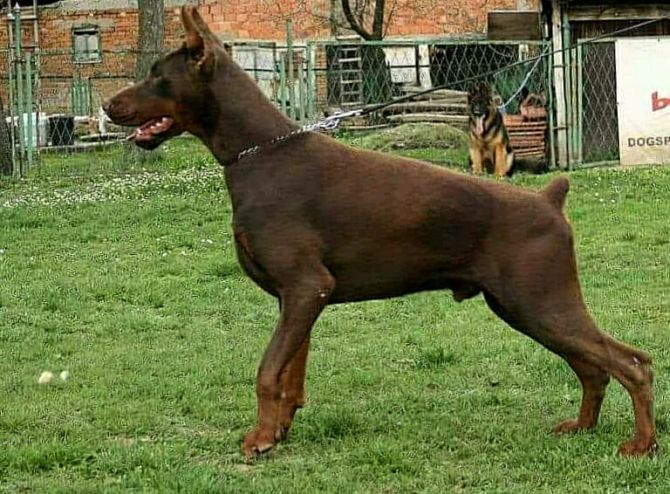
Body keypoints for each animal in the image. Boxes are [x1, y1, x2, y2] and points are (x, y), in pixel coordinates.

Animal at [103, 7, 656, 459]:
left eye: (157, 77)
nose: (109, 107)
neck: (256, 155)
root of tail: (549, 199)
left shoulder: (305, 286)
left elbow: (267, 372)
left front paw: (258, 440)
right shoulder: (298, 298)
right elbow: (290, 376)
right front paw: (278, 432)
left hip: (539, 300)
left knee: (633, 363)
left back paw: (640, 445)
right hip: (524, 307)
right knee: (594, 366)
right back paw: (583, 428)